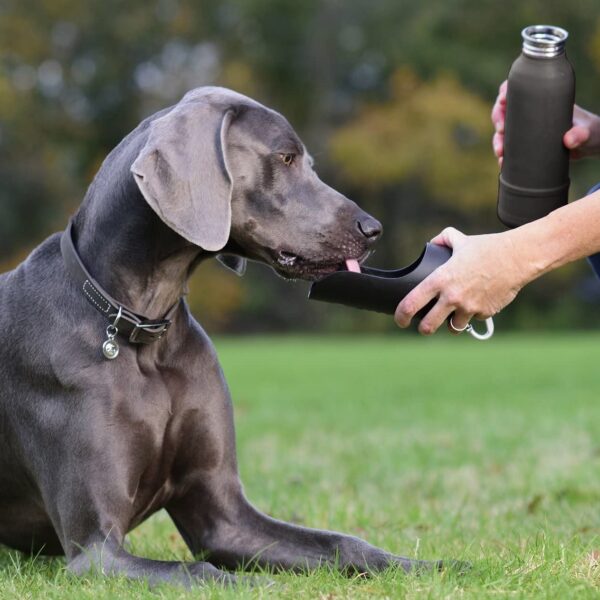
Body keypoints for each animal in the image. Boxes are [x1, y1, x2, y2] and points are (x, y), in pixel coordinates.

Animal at [0, 86, 436, 584]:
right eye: (285, 158)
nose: (372, 229)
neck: (142, 330)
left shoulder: (223, 513)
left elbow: (344, 543)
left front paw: (434, 565)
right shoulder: (94, 550)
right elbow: (201, 571)